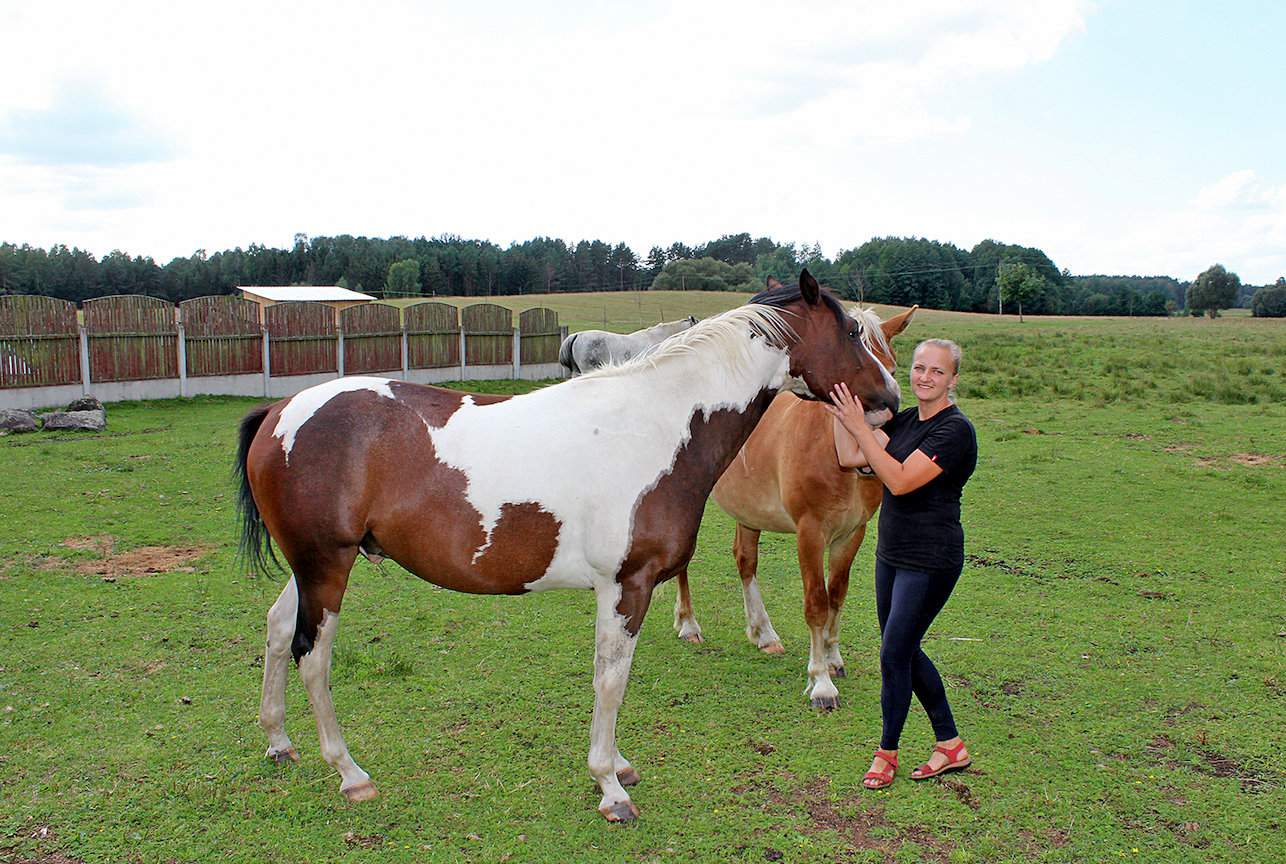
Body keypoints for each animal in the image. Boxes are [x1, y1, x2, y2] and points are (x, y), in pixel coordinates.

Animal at [673, 303, 915, 709]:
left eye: (892, 370)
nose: (871, 448)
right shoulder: (810, 532)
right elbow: (816, 602)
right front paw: (820, 683)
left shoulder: (852, 533)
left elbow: (837, 595)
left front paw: (833, 659)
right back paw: (689, 624)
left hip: (748, 510)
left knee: (745, 560)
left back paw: (764, 633)